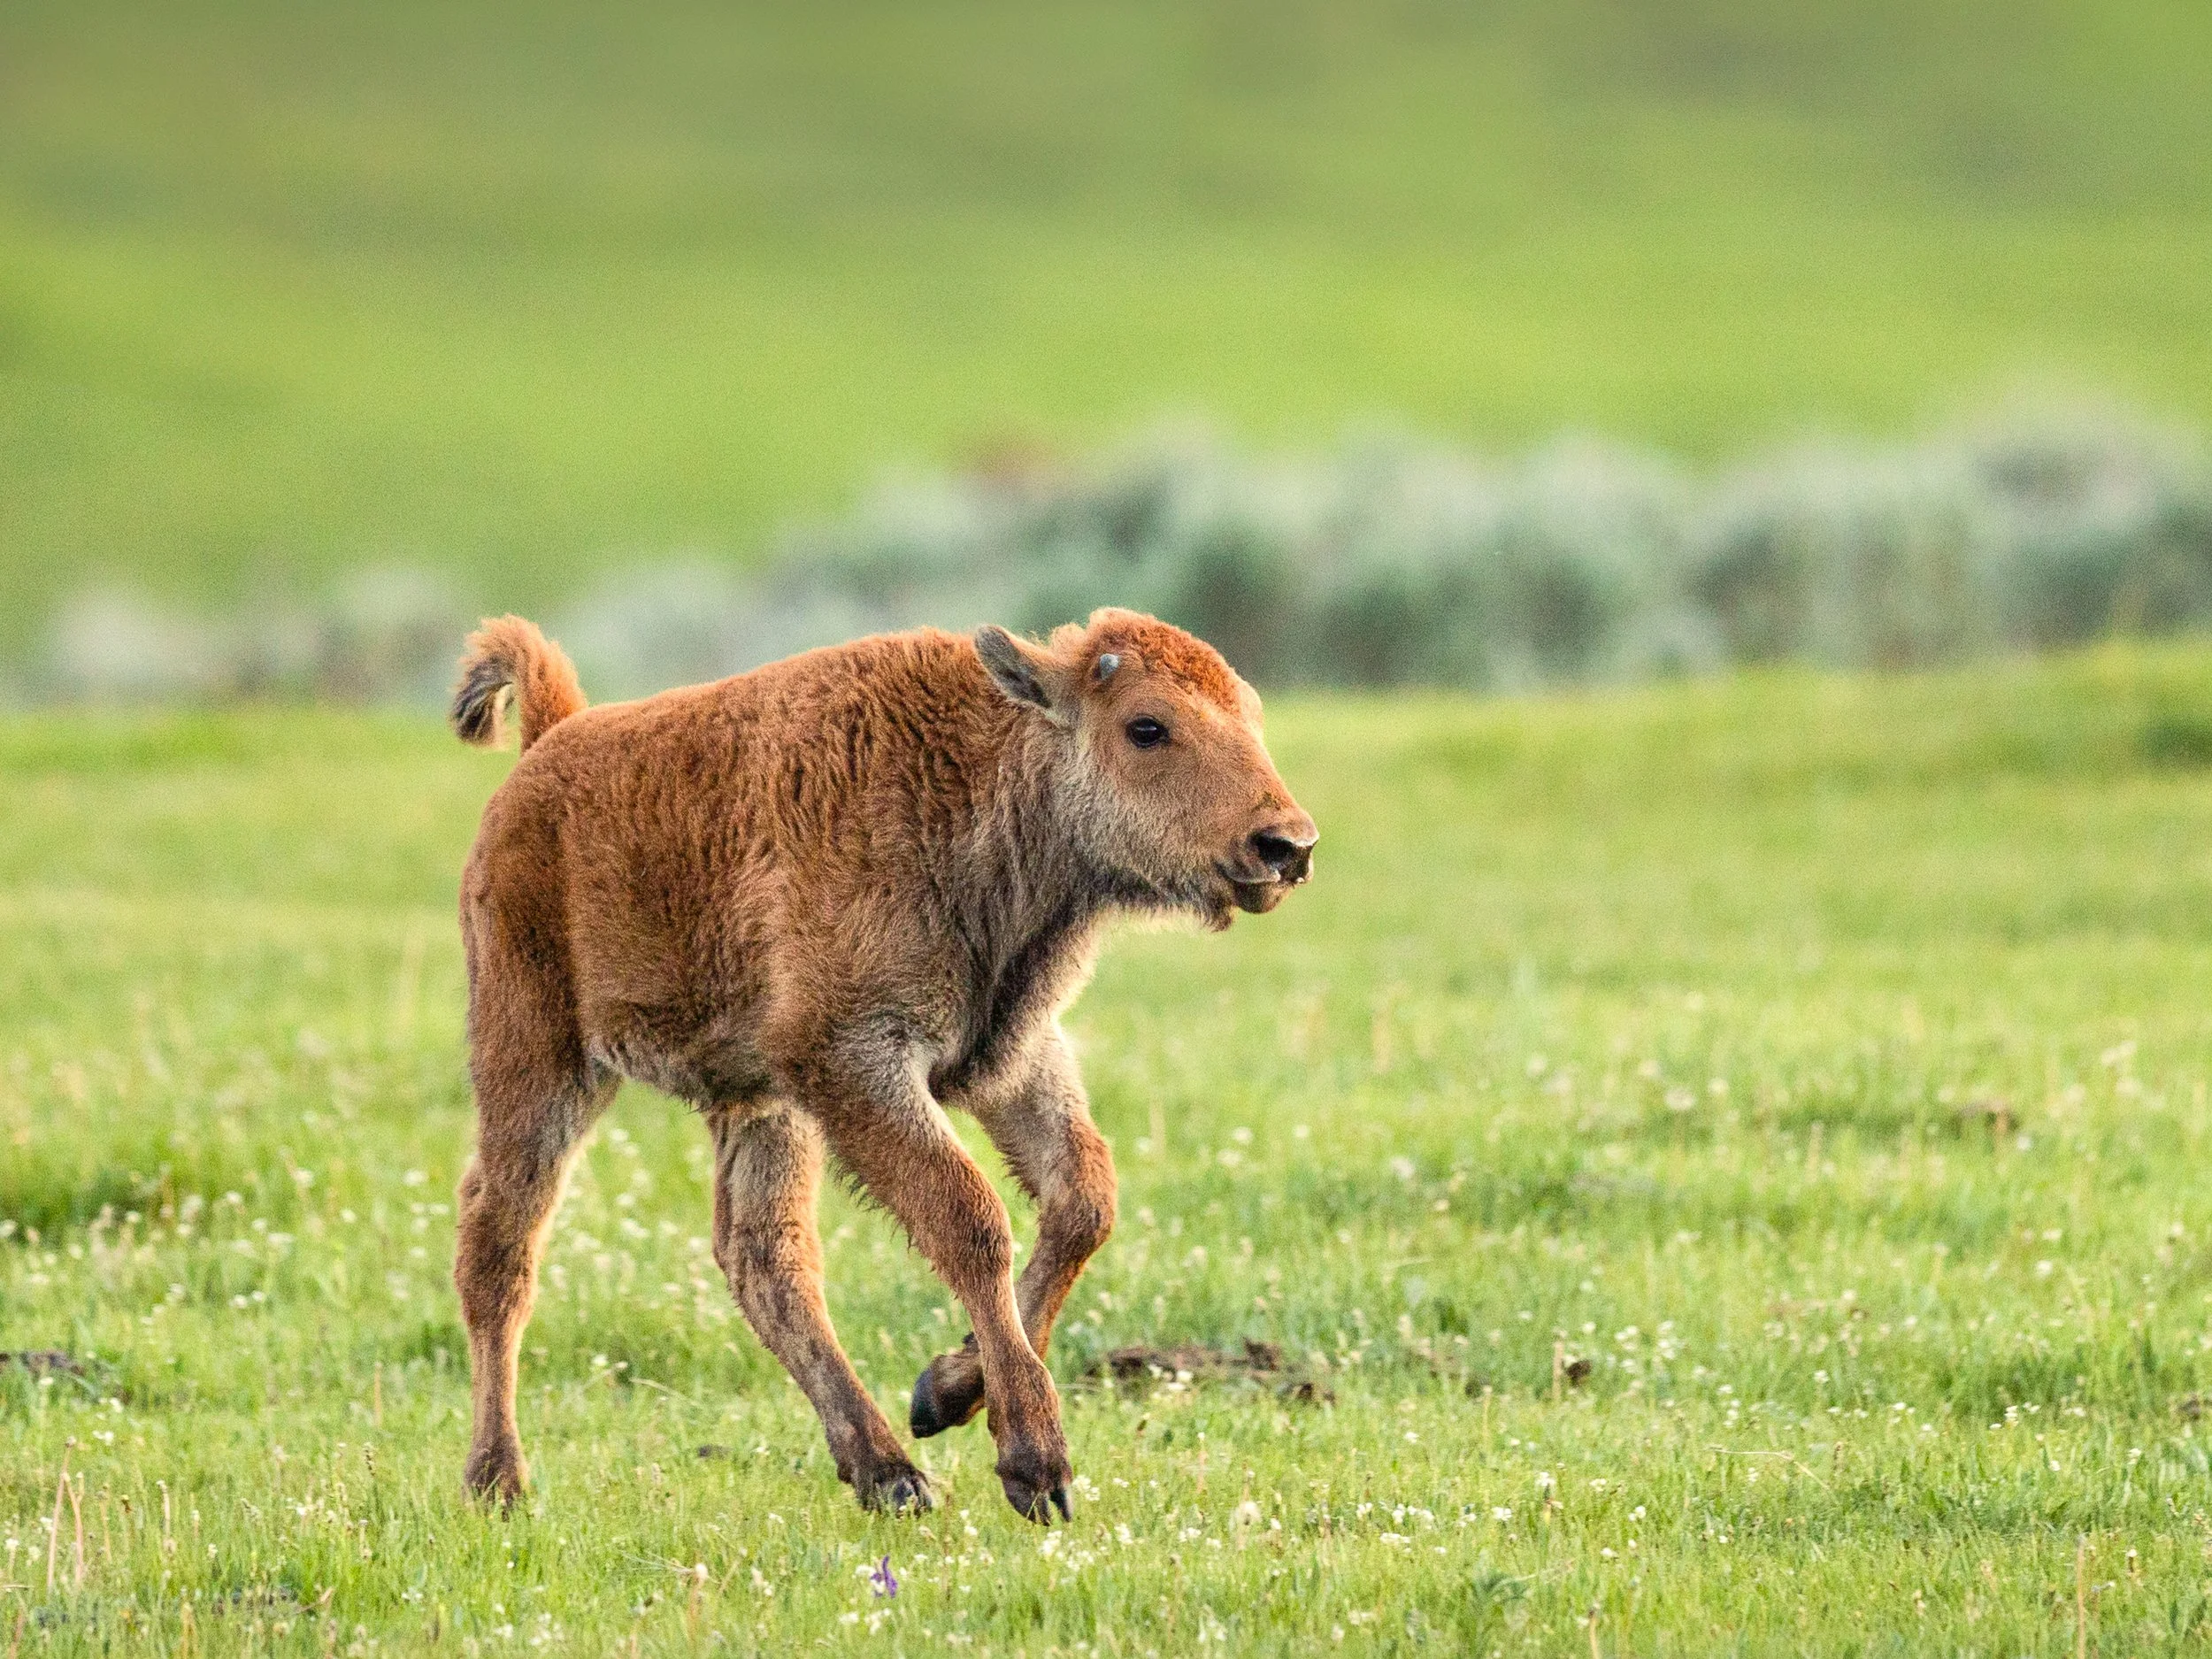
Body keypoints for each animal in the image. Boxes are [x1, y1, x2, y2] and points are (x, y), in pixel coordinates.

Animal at [447, 608, 1316, 1523]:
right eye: (1147, 726)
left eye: (1252, 715)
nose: (1287, 845)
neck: (983, 768)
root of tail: (553, 738)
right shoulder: (857, 1060)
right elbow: (970, 1219)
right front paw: (1037, 1466)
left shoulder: (1009, 1055)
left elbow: (1083, 1201)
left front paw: (943, 1391)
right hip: (540, 1061)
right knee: (501, 1246)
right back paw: (498, 1479)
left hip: (760, 1100)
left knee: (765, 1258)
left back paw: (889, 1470)